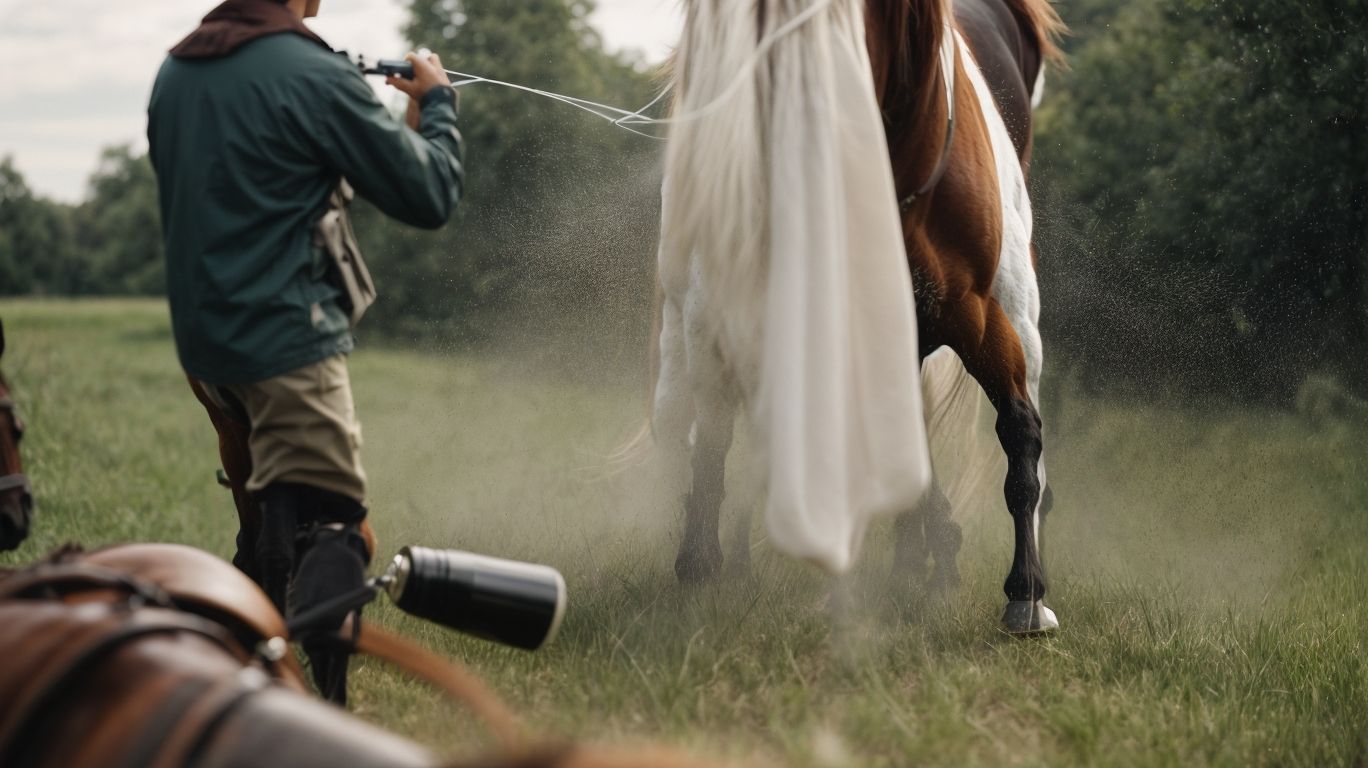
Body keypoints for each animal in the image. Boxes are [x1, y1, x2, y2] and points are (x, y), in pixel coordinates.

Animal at [651, 0, 1065, 633]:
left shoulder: (994, 317)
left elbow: (1021, 432)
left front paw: (1026, 594)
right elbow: (717, 436)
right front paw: (702, 564)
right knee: (695, 423)